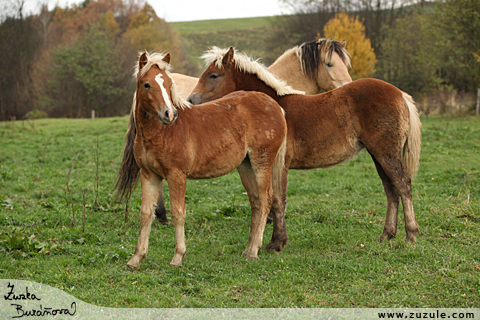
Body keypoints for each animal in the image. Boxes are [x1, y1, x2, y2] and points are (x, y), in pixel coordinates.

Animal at [115, 52, 288, 268]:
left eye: (169, 83)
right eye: (146, 84)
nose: (169, 114)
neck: (162, 132)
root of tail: (276, 106)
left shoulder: (176, 175)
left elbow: (178, 213)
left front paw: (178, 257)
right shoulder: (149, 176)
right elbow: (146, 214)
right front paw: (136, 259)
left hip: (262, 163)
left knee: (265, 200)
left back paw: (254, 251)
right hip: (246, 166)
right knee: (256, 202)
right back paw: (248, 250)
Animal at [188, 46, 420, 252]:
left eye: (214, 75)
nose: (191, 100)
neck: (273, 107)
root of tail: (401, 94)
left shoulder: (279, 163)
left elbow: (278, 200)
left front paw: (276, 243)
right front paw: (277, 241)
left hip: (385, 152)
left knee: (402, 184)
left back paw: (411, 235)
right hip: (378, 153)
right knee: (391, 189)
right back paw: (386, 235)